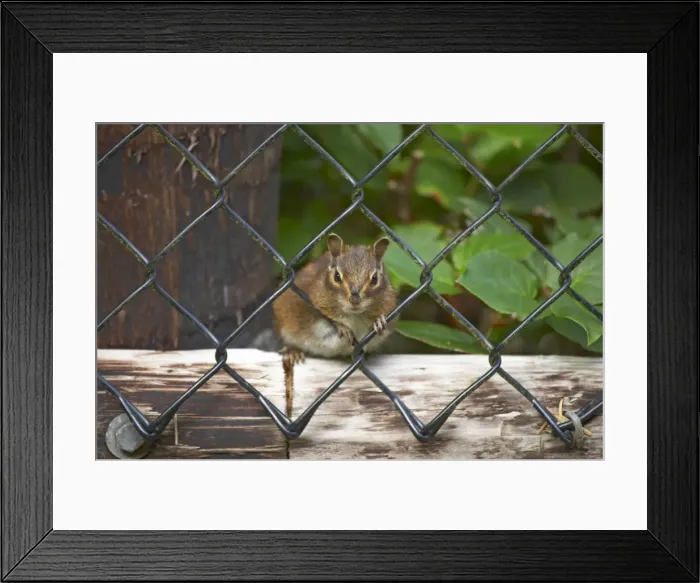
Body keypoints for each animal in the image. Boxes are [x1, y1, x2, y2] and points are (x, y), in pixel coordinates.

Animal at [272, 233, 398, 417]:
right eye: (337, 277)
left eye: (374, 278)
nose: (355, 299)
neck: (354, 315)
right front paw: (343, 327)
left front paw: (379, 321)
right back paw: (292, 352)